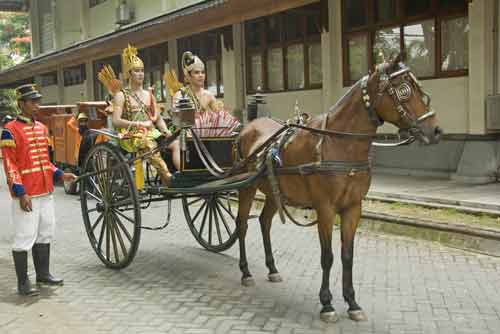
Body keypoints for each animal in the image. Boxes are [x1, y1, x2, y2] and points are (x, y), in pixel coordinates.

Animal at [234, 53, 442, 322]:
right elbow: (328, 256)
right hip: (246, 188)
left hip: (273, 191)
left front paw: (352, 302)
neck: (339, 144)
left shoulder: (353, 208)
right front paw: (327, 303)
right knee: (242, 225)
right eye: (404, 90)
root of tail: (248, 127)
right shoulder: (325, 209)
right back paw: (246, 272)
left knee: (264, 222)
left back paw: (272, 269)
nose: (435, 130)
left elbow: (347, 256)